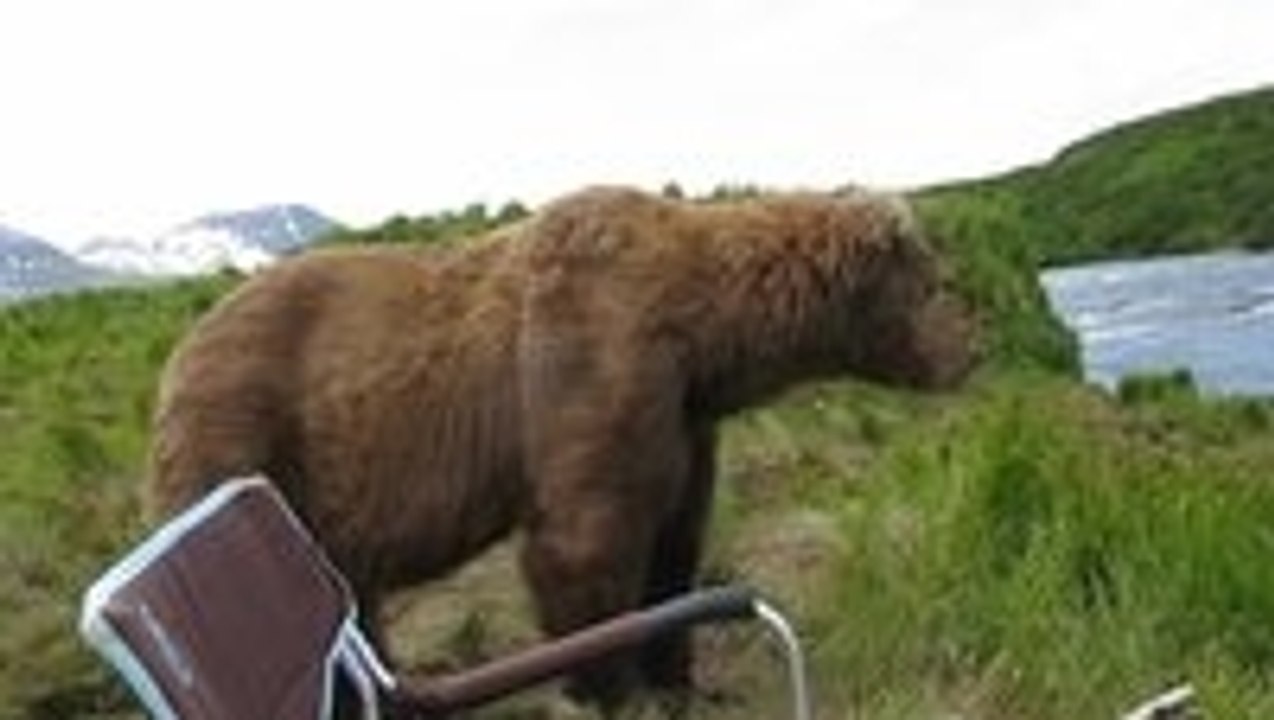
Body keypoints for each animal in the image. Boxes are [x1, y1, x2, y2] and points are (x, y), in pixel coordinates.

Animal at [144, 185, 978, 710]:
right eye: (938, 283)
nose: (974, 347)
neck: (702, 330)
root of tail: (177, 354)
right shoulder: (595, 358)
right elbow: (587, 542)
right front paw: (611, 689)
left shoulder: (685, 414)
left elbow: (676, 540)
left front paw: (683, 679)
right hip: (243, 433)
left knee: (351, 595)